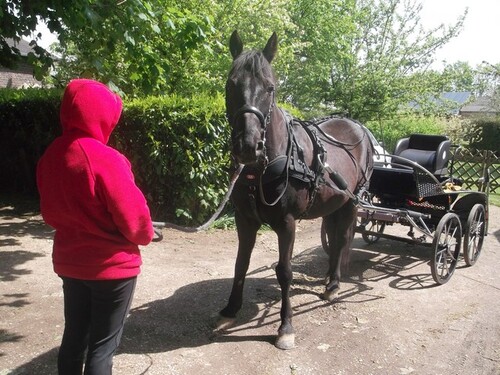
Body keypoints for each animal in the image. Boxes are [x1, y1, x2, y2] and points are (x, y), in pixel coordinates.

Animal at [217, 30, 374, 352]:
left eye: (270, 87)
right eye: (231, 84)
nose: (248, 146)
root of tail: (358, 127)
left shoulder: (286, 223)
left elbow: (285, 271)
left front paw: (285, 326)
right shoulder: (244, 219)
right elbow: (241, 263)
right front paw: (230, 310)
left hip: (352, 204)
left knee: (343, 239)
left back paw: (334, 285)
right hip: (334, 203)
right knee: (335, 240)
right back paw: (328, 279)